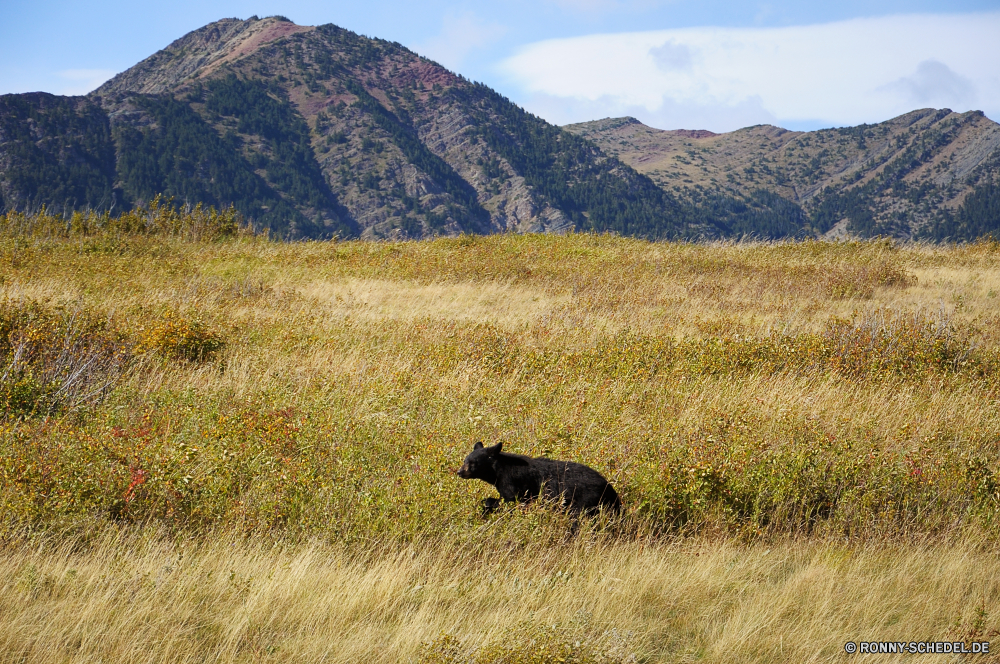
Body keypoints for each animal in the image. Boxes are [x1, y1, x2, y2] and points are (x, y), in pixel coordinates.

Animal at [458, 444, 616, 516]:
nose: (460, 472)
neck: (498, 471)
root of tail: (609, 487)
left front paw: (488, 504)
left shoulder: (511, 482)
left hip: (586, 500)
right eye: (465, 460)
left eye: (472, 463)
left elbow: (512, 500)